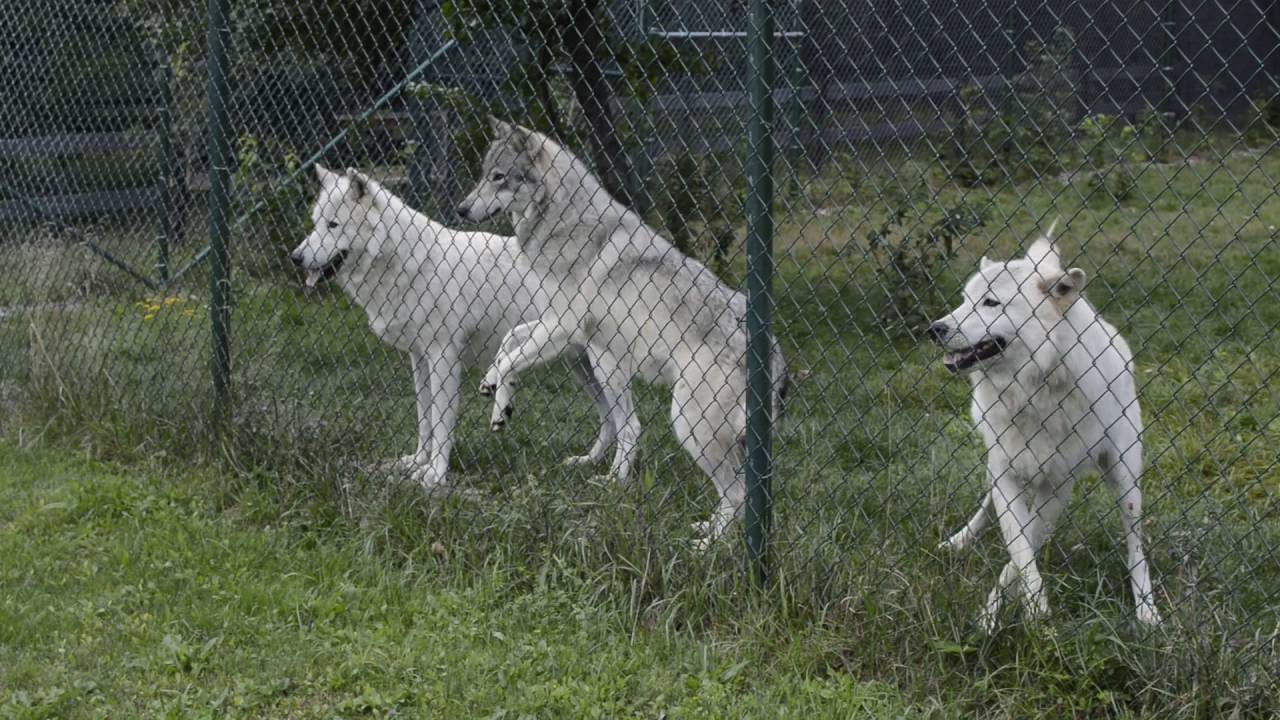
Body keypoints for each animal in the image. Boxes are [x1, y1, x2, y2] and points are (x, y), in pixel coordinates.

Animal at [289, 165, 636, 487]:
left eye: (333, 225)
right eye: (316, 223)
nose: (295, 257)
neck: (405, 264)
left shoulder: (443, 358)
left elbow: (442, 423)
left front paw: (435, 474)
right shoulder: (419, 359)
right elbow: (424, 418)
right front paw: (417, 462)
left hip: (602, 368)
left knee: (630, 424)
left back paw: (615, 481)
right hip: (583, 368)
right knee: (610, 419)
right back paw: (586, 462)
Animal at [455, 119, 788, 546]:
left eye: (498, 177)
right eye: (483, 175)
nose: (461, 209)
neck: (561, 220)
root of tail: (774, 352)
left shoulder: (563, 328)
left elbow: (511, 355)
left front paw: (496, 393)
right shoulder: (561, 329)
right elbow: (509, 342)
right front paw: (497, 395)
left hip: (684, 421)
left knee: (737, 492)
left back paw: (704, 546)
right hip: (619, 375)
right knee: (650, 439)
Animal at [928, 231, 1160, 629]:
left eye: (991, 303)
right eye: (965, 301)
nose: (934, 329)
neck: (1030, 392)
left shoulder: (1057, 485)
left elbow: (1022, 552)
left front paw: (1026, 611)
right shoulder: (1005, 473)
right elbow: (1018, 545)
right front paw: (995, 617)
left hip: (1126, 481)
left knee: (1135, 545)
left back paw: (1145, 607)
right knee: (988, 504)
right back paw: (961, 540)